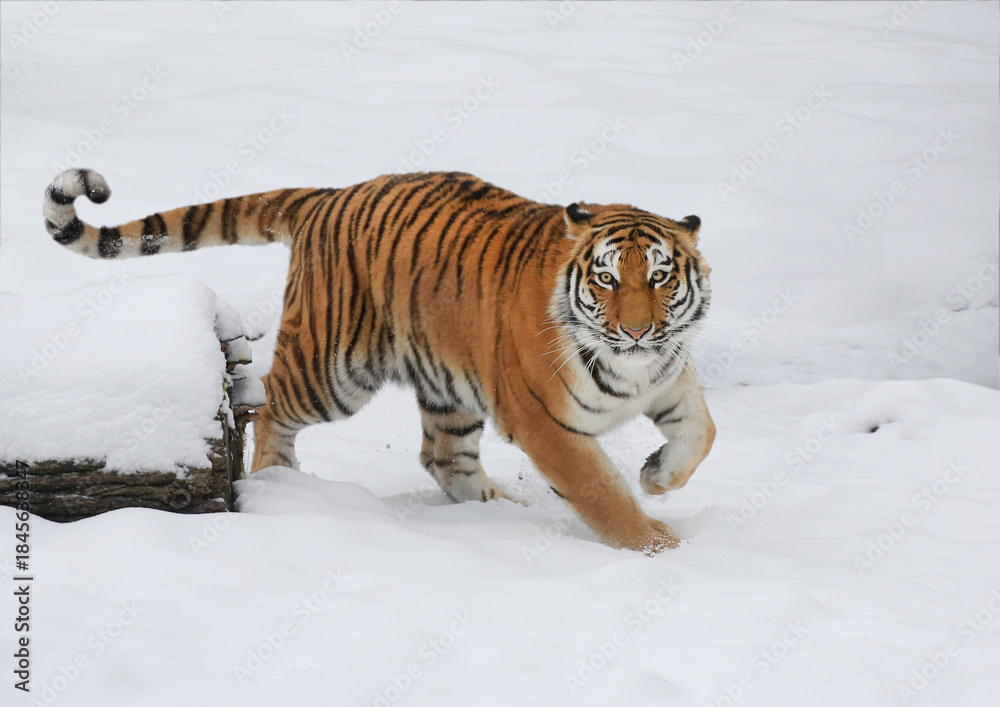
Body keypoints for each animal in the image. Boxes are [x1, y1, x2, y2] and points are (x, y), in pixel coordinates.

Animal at [42, 168, 715, 553]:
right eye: (606, 278)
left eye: (659, 278)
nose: (636, 329)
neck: (631, 365)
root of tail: (330, 195)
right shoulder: (544, 420)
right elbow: (598, 487)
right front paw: (655, 544)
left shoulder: (669, 375)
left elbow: (701, 432)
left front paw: (658, 476)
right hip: (333, 368)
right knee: (268, 403)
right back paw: (278, 481)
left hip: (448, 387)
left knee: (443, 456)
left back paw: (498, 512)